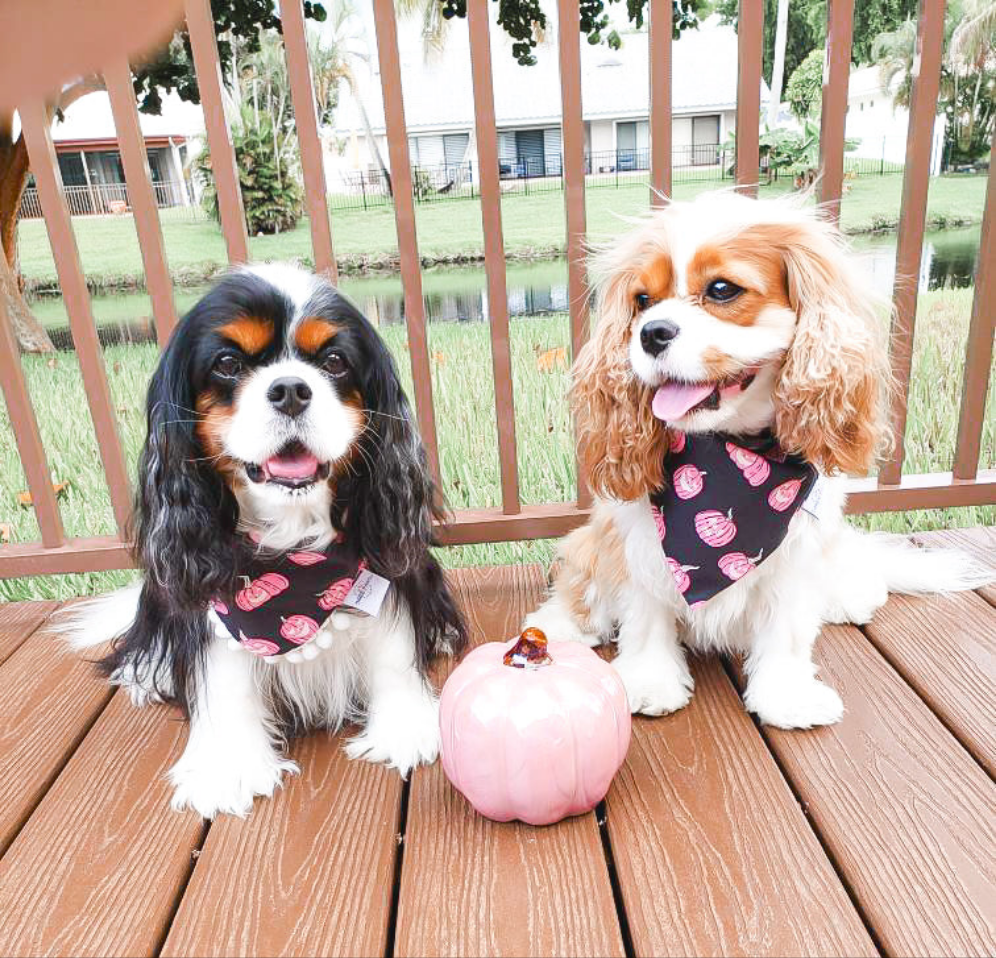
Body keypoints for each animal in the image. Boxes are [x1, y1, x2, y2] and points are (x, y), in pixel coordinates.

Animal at [68, 266, 464, 820]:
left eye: (334, 361)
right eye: (228, 364)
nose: (291, 389)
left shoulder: (388, 567)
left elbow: (392, 645)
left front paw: (404, 728)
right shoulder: (213, 600)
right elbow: (223, 675)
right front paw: (229, 766)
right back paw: (147, 673)